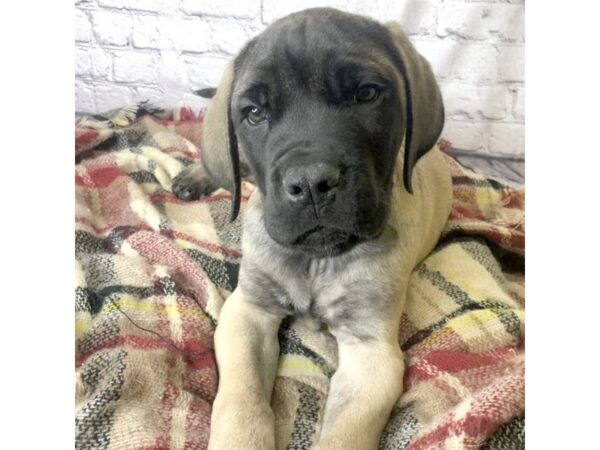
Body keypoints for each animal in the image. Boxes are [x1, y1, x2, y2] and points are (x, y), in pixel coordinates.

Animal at [171, 7, 452, 450]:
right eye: (254, 113)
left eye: (366, 94)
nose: (310, 183)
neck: (315, 260)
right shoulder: (247, 311)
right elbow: (241, 401)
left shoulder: (371, 352)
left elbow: (345, 434)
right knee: (233, 175)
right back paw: (197, 176)